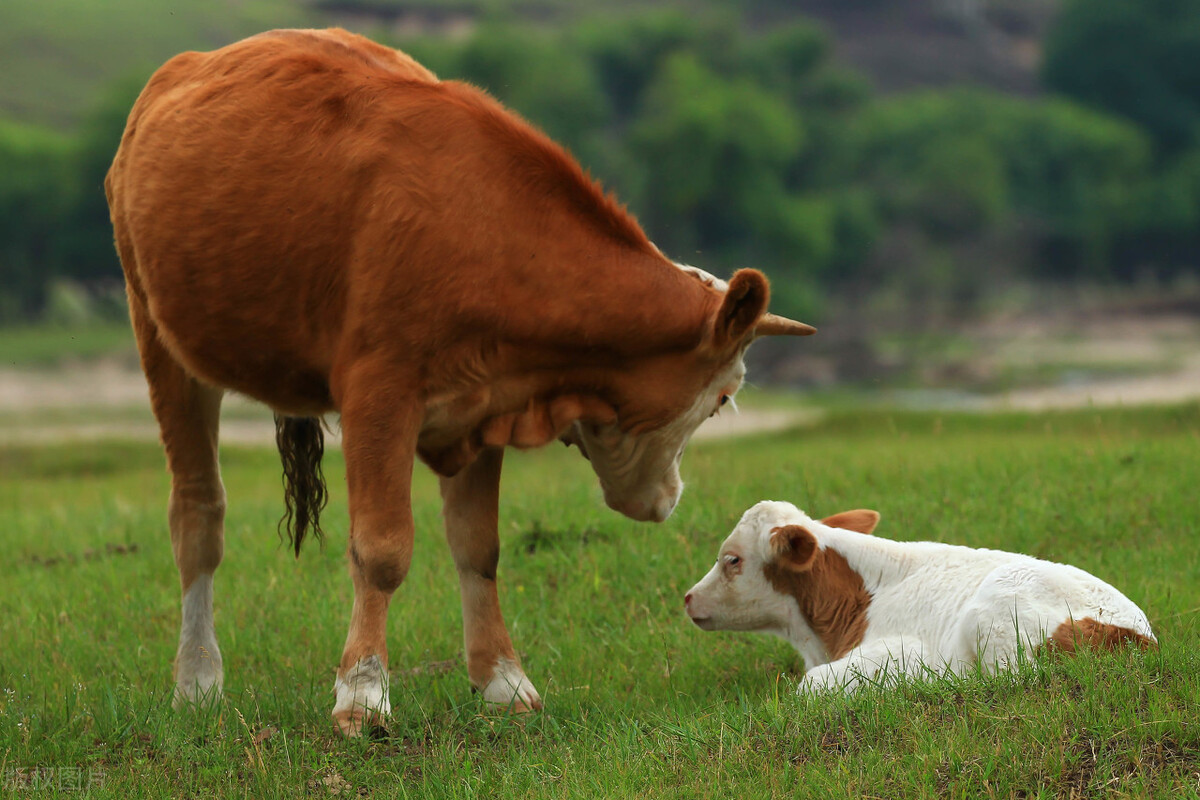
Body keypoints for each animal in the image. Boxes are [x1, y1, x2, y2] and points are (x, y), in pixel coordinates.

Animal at [105, 26, 816, 738]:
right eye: (722, 399)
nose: (669, 499)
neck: (488, 235)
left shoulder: (487, 405)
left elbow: (479, 548)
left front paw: (503, 679)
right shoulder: (379, 394)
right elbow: (382, 550)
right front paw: (363, 692)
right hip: (157, 334)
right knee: (198, 516)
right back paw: (197, 680)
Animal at [691, 501, 1156, 695]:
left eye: (731, 560)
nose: (688, 597)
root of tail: (1140, 637)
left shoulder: (898, 650)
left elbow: (808, 687)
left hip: (996, 612)